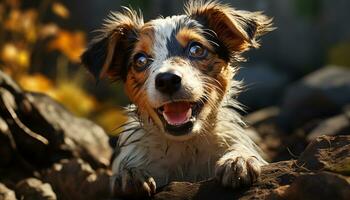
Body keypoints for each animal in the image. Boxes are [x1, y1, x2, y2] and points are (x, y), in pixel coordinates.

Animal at [80, 0, 272, 198]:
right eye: (140, 60)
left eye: (196, 49)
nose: (167, 80)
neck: (185, 146)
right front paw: (129, 174)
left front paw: (238, 158)